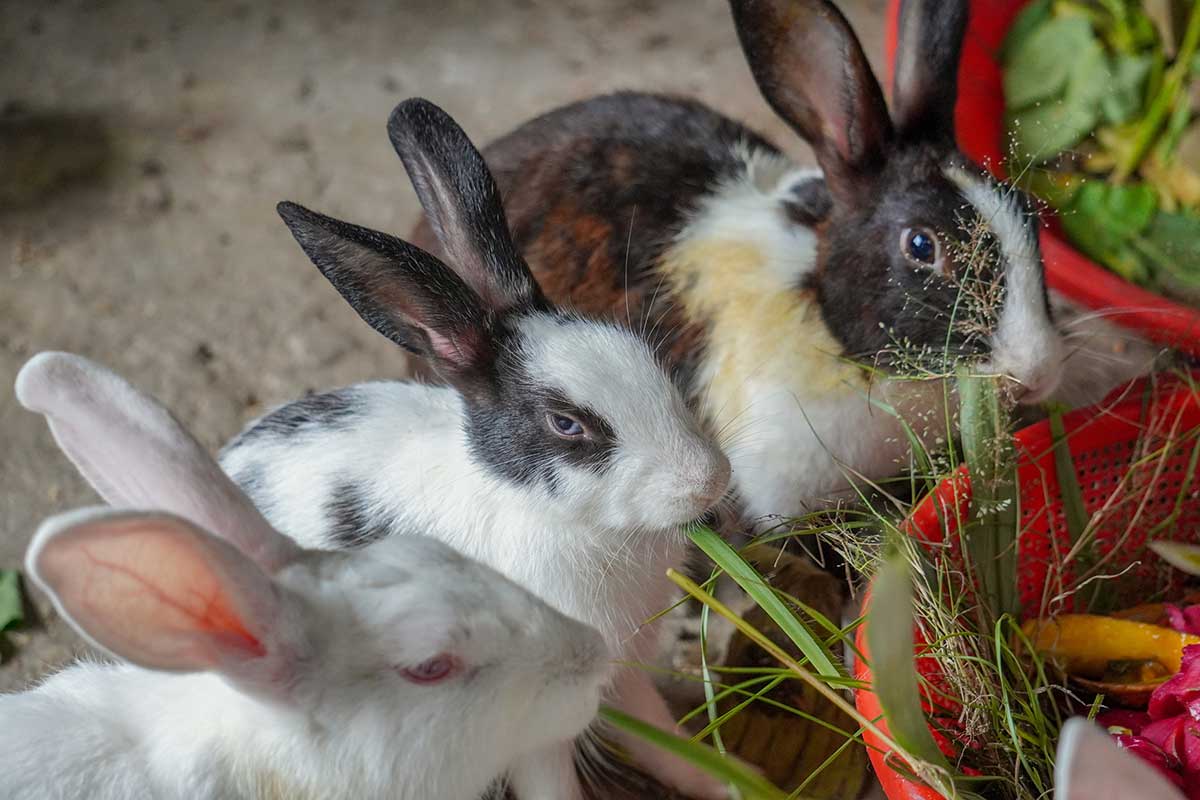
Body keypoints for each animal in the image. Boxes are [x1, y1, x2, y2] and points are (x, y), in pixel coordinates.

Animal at [218, 98, 734, 800]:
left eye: (645, 357)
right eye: (566, 424)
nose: (711, 480)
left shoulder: (625, 672)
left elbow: (665, 741)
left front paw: (736, 782)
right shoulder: (538, 726)